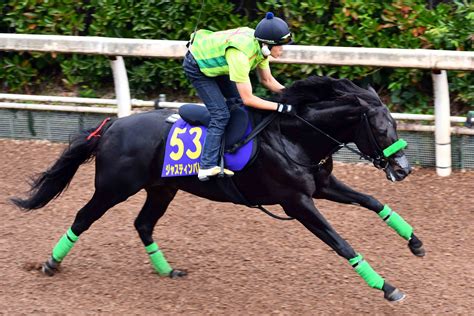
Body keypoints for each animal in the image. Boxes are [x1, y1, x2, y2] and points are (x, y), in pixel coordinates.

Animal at [12, 76, 426, 302]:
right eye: (382, 127)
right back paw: (51, 263)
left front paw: (416, 243)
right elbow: (342, 244)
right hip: (114, 188)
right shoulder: (296, 202)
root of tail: (112, 126)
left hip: (161, 189)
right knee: (83, 217)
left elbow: (373, 202)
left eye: (394, 124)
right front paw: (387, 287)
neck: (294, 136)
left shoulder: (321, 185)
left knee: (143, 224)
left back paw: (168, 271)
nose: (403, 169)